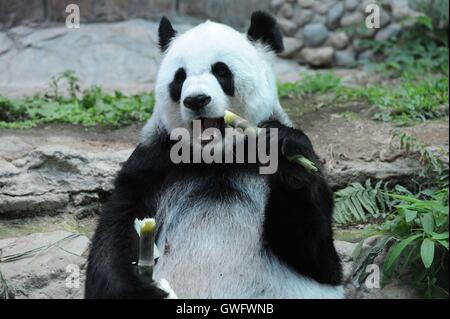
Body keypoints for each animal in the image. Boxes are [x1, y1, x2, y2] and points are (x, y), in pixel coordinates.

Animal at [86, 10, 342, 300]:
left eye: (221, 71)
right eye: (179, 77)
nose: (196, 100)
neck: (216, 156)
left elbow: (319, 261)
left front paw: (286, 154)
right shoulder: (151, 164)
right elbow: (113, 241)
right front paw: (145, 290)